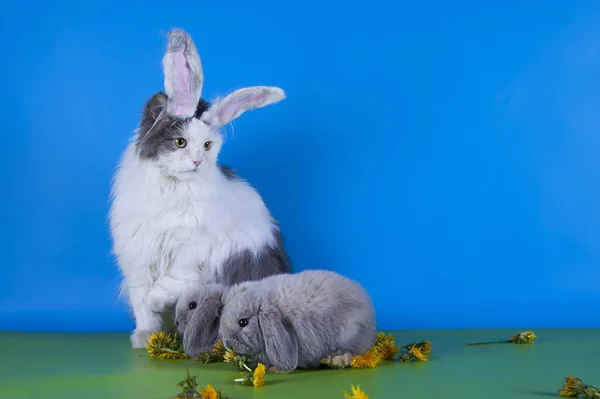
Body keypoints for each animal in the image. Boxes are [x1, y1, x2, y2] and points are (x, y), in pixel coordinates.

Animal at [112, 28, 292, 348]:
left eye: (207, 146)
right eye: (180, 142)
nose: (196, 160)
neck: (171, 192)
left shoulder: (192, 253)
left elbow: (167, 286)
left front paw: (159, 302)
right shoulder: (139, 257)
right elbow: (142, 305)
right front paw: (145, 337)